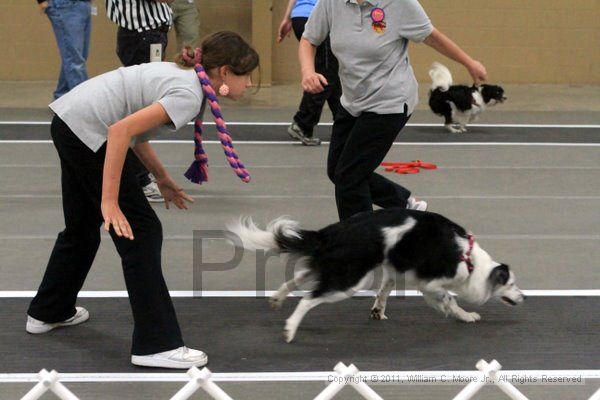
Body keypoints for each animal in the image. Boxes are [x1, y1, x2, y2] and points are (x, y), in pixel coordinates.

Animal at [227, 208, 524, 342]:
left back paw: (277, 298)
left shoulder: (394, 269)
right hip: (351, 278)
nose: (523, 297)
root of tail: (331, 232)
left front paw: (378, 312)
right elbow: (449, 300)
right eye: (511, 283)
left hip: (335, 266)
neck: (470, 260)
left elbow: (384, 291)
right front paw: (466, 315)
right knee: (308, 298)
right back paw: (290, 328)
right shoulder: (431, 283)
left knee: (298, 276)